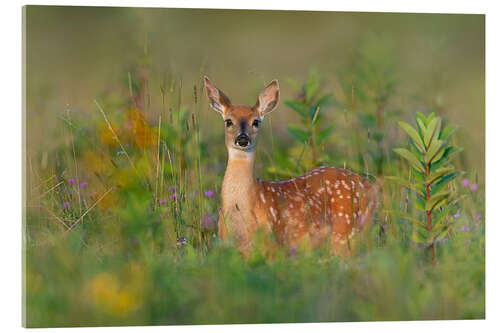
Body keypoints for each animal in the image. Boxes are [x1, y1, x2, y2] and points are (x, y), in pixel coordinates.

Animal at [204, 76, 378, 256]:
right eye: (228, 121)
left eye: (256, 122)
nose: (243, 139)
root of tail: (371, 187)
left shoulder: (272, 244)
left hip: (346, 232)